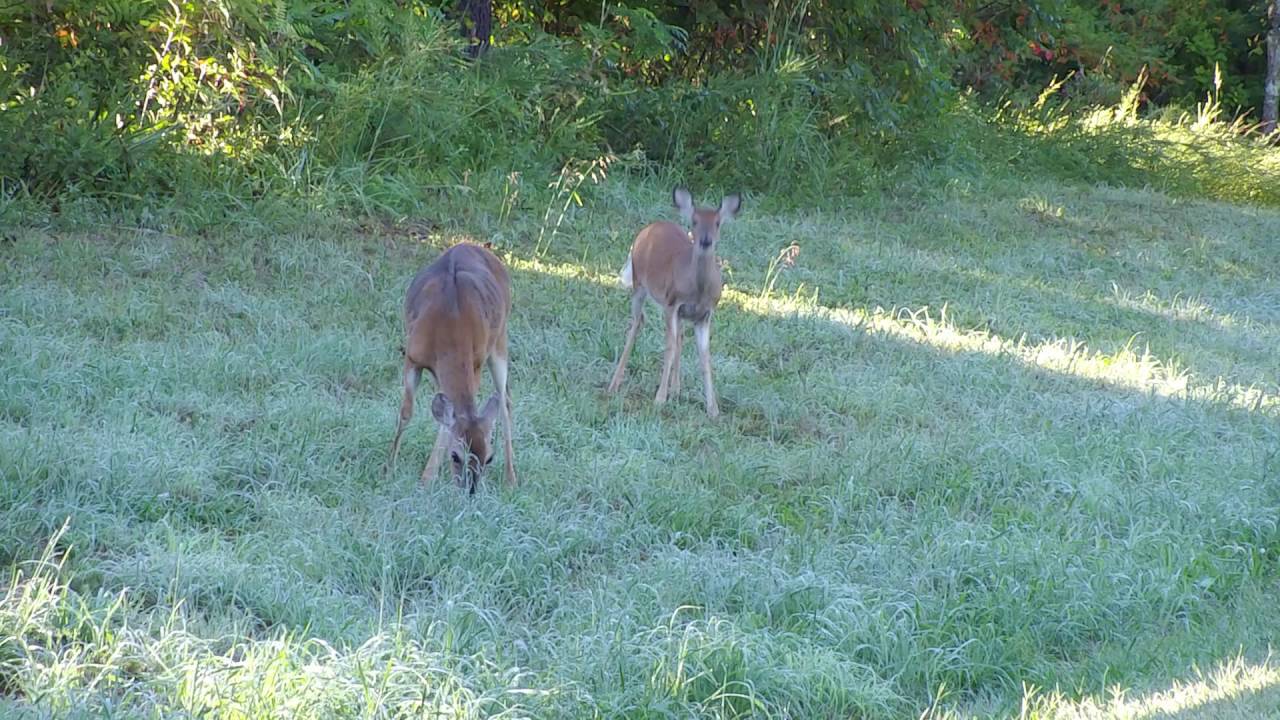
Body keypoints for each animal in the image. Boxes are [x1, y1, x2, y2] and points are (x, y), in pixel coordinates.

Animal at [386, 242, 516, 493]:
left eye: (489, 458)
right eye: (455, 456)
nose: (471, 491)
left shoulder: (475, 362)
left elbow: (446, 424)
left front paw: (426, 480)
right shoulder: (412, 358)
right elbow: (406, 412)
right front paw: (389, 468)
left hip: (500, 340)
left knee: (505, 402)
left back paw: (511, 479)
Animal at [607, 187, 741, 418]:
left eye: (717, 223)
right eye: (694, 221)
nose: (706, 241)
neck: (697, 290)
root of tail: (649, 228)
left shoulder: (704, 314)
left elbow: (705, 357)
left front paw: (713, 409)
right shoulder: (671, 303)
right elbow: (668, 348)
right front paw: (659, 399)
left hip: (681, 313)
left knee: (679, 336)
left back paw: (676, 389)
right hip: (639, 284)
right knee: (637, 323)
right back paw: (614, 384)